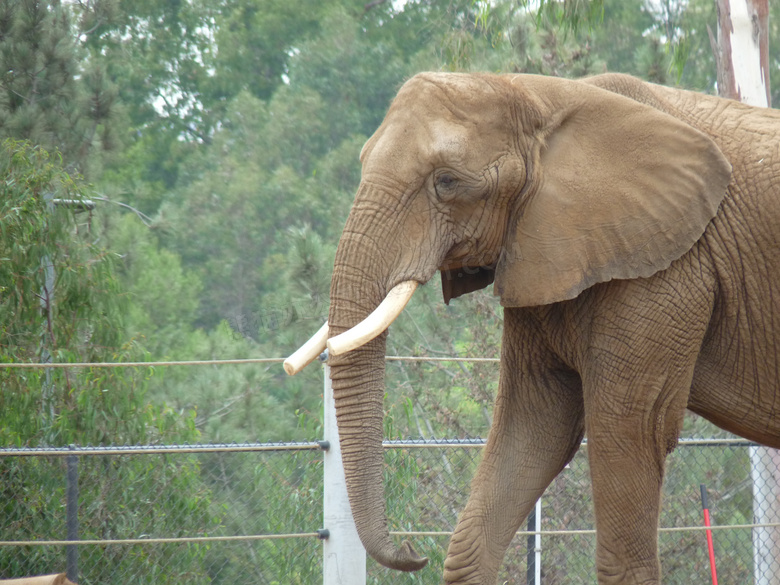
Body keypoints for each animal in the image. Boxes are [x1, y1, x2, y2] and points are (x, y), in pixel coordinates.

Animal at [284, 73, 780, 584]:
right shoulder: (538, 250)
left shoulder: (668, 267)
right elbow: (534, 427)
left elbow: (633, 431)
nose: (411, 550)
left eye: (446, 182)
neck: (543, 94)